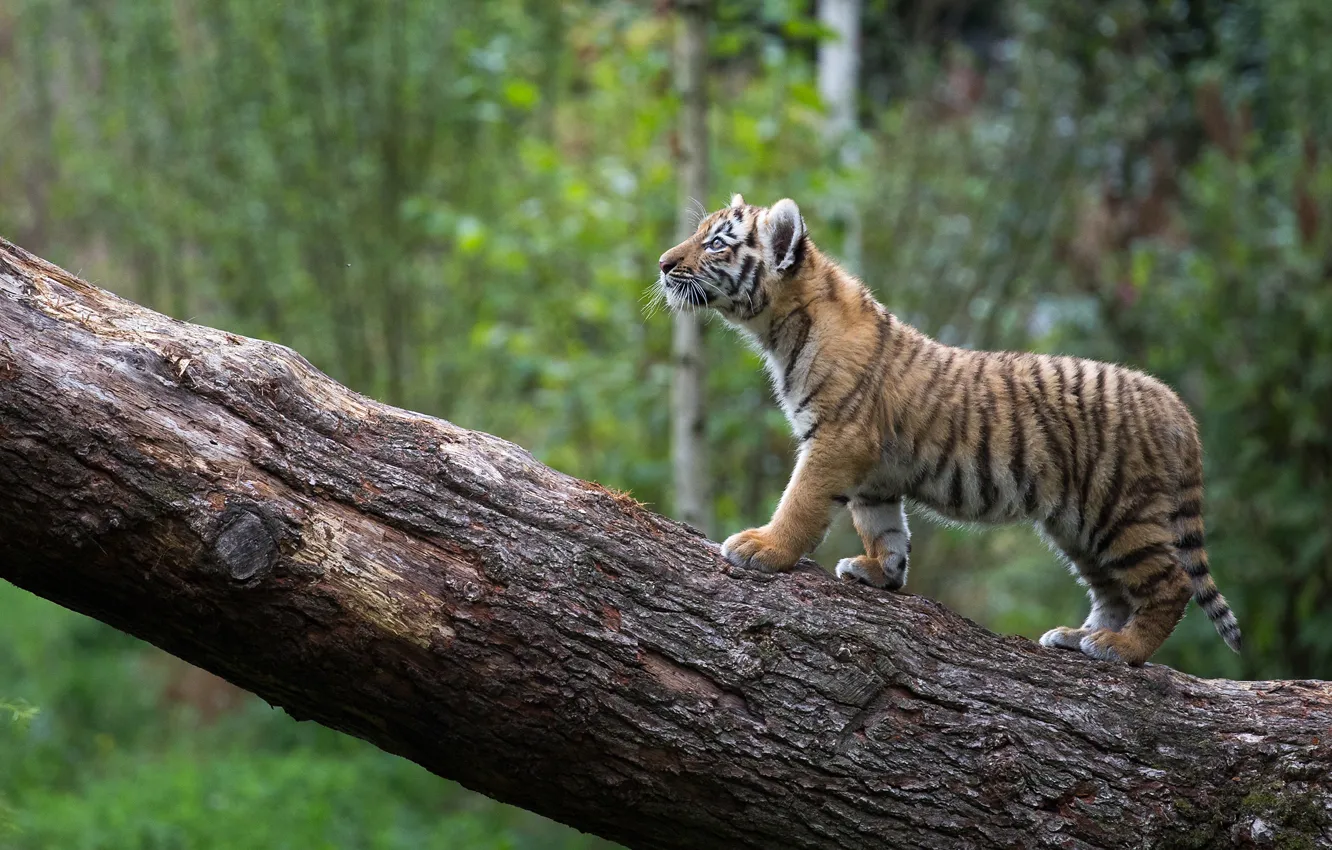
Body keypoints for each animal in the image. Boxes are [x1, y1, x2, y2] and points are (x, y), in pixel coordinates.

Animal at [653, 194, 1241, 665]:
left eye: (715, 244)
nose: (663, 264)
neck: (780, 330)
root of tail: (1175, 405)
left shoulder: (836, 440)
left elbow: (800, 502)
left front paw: (764, 548)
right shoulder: (873, 472)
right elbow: (882, 525)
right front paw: (881, 571)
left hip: (1121, 511)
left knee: (1170, 583)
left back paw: (1123, 649)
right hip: (1078, 526)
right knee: (1113, 591)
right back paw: (1079, 638)